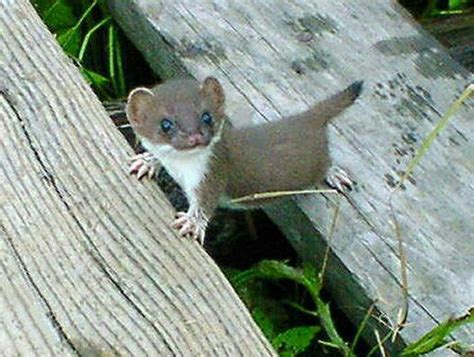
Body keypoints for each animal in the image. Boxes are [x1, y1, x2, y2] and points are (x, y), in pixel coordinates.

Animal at [126, 76, 362, 243]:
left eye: (206, 116)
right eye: (165, 123)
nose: (195, 137)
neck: (181, 169)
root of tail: (305, 118)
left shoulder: (213, 173)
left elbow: (206, 203)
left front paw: (191, 223)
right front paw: (146, 161)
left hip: (315, 163)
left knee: (326, 164)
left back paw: (337, 175)